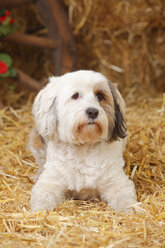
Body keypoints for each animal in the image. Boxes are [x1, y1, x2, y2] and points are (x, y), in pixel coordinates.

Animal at [29, 70, 137, 213]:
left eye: (100, 95)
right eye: (75, 95)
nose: (92, 111)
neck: (84, 148)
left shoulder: (117, 182)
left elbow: (125, 198)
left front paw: (132, 210)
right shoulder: (50, 183)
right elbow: (42, 199)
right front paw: (39, 212)